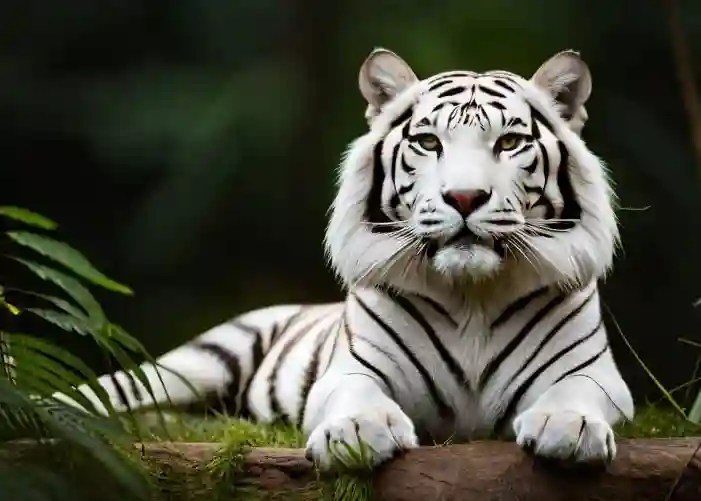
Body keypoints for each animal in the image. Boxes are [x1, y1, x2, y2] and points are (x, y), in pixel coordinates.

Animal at [56, 48, 634, 471]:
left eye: (510, 141)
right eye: (429, 142)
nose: (465, 197)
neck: (472, 294)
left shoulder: (596, 373)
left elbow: (577, 392)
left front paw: (569, 429)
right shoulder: (352, 368)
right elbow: (355, 394)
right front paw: (358, 433)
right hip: (200, 360)